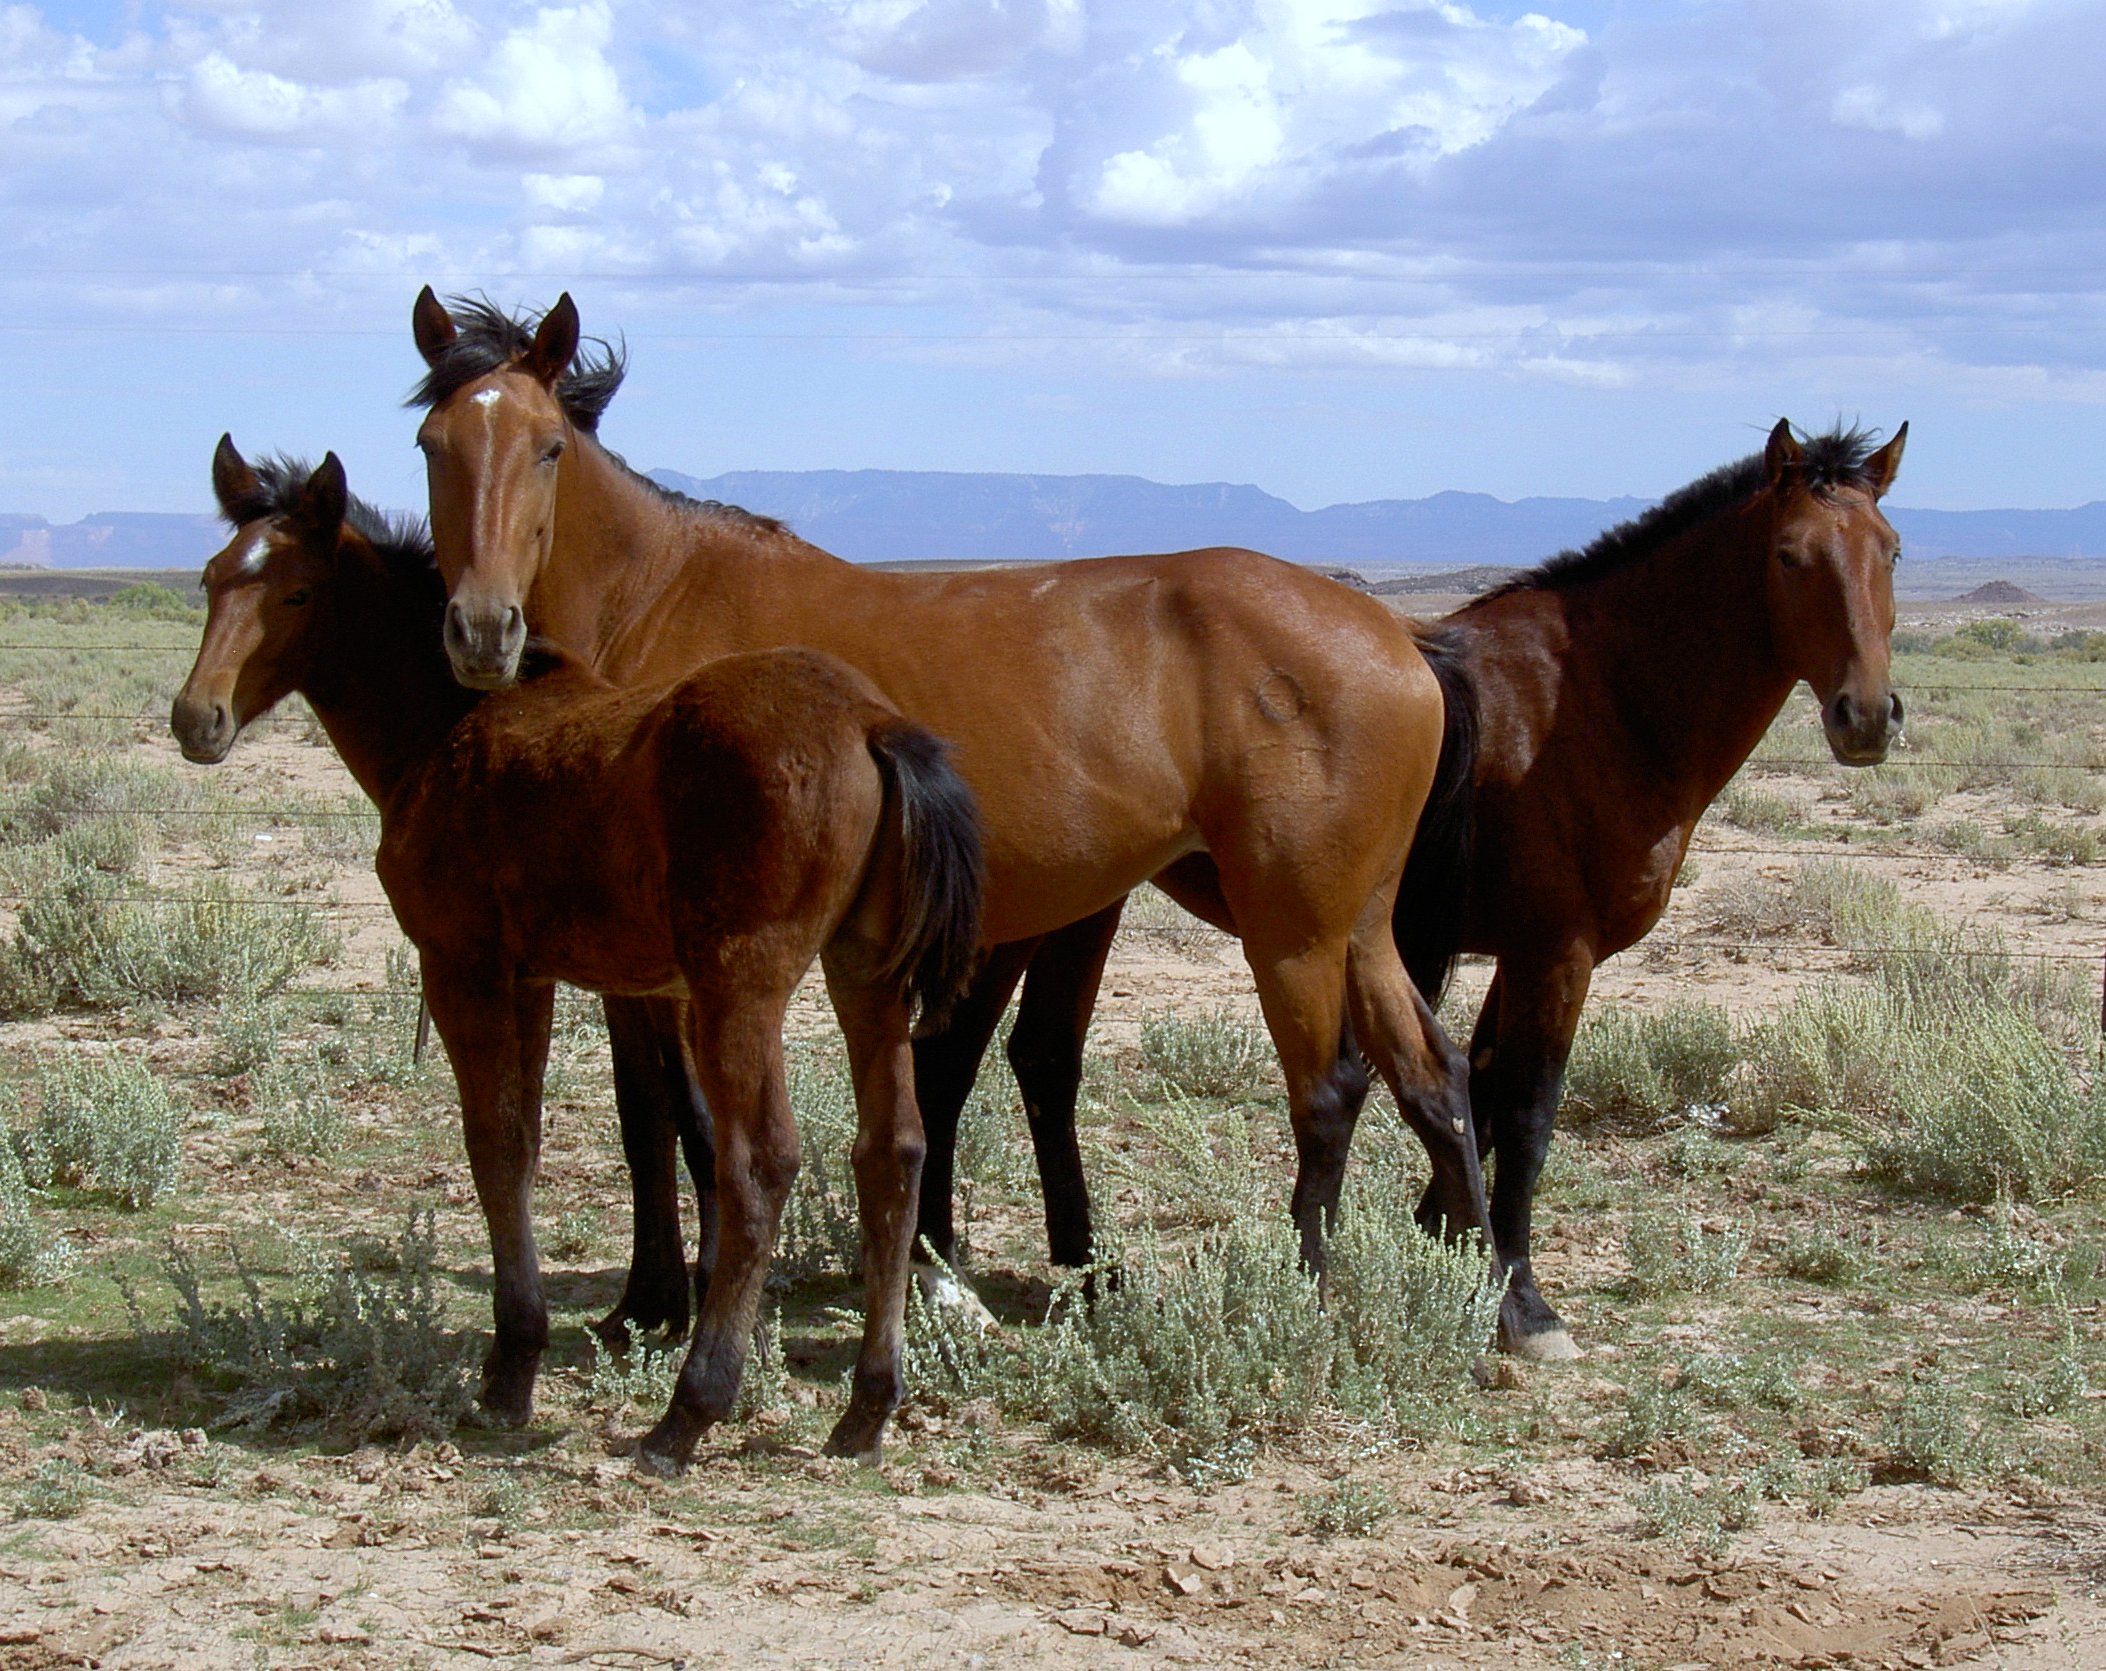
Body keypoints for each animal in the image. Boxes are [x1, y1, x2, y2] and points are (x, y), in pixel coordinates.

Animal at [170, 436, 985, 1466]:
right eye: (210, 580)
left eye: (298, 593)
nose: (197, 718)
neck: (447, 728)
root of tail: (872, 723)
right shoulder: (535, 978)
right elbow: (522, 1140)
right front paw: (518, 1356)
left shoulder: (462, 965)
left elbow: (495, 1143)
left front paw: (510, 1370)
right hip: (865, 976)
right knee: (894, 1152)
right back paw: (867, 1410)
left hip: (741, 983)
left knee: (761, 1163)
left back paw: (687, 1412)